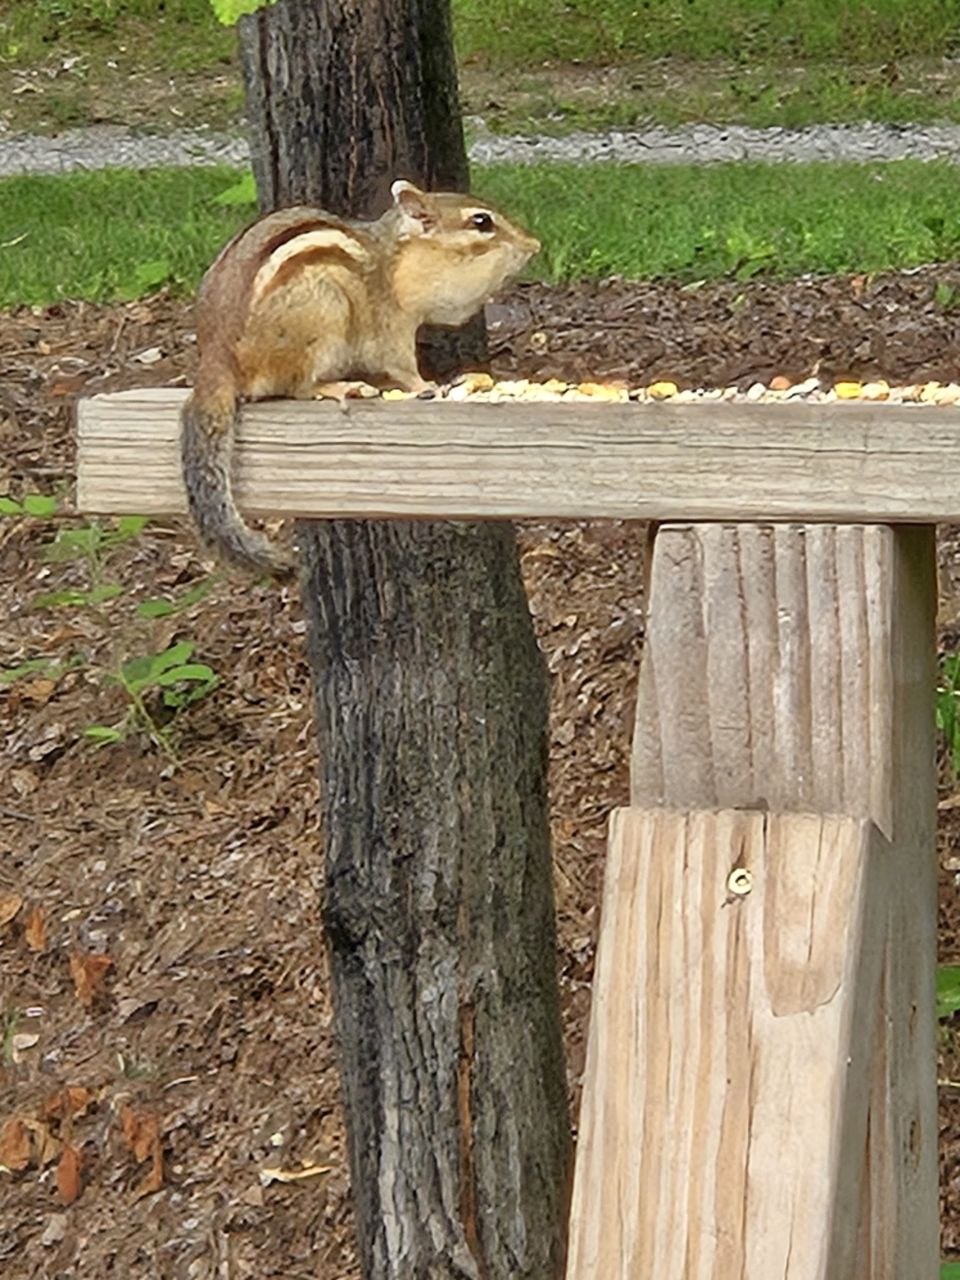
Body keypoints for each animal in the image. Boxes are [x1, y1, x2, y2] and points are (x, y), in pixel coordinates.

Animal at [180, 179, 540, 580]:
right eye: (481, 222)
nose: (534, 245)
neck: (396, 262)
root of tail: (217, 360)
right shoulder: (391, 324)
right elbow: (402, 365)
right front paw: (429, 387)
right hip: (323, 310)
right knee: (298, 386)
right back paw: (339, 386)